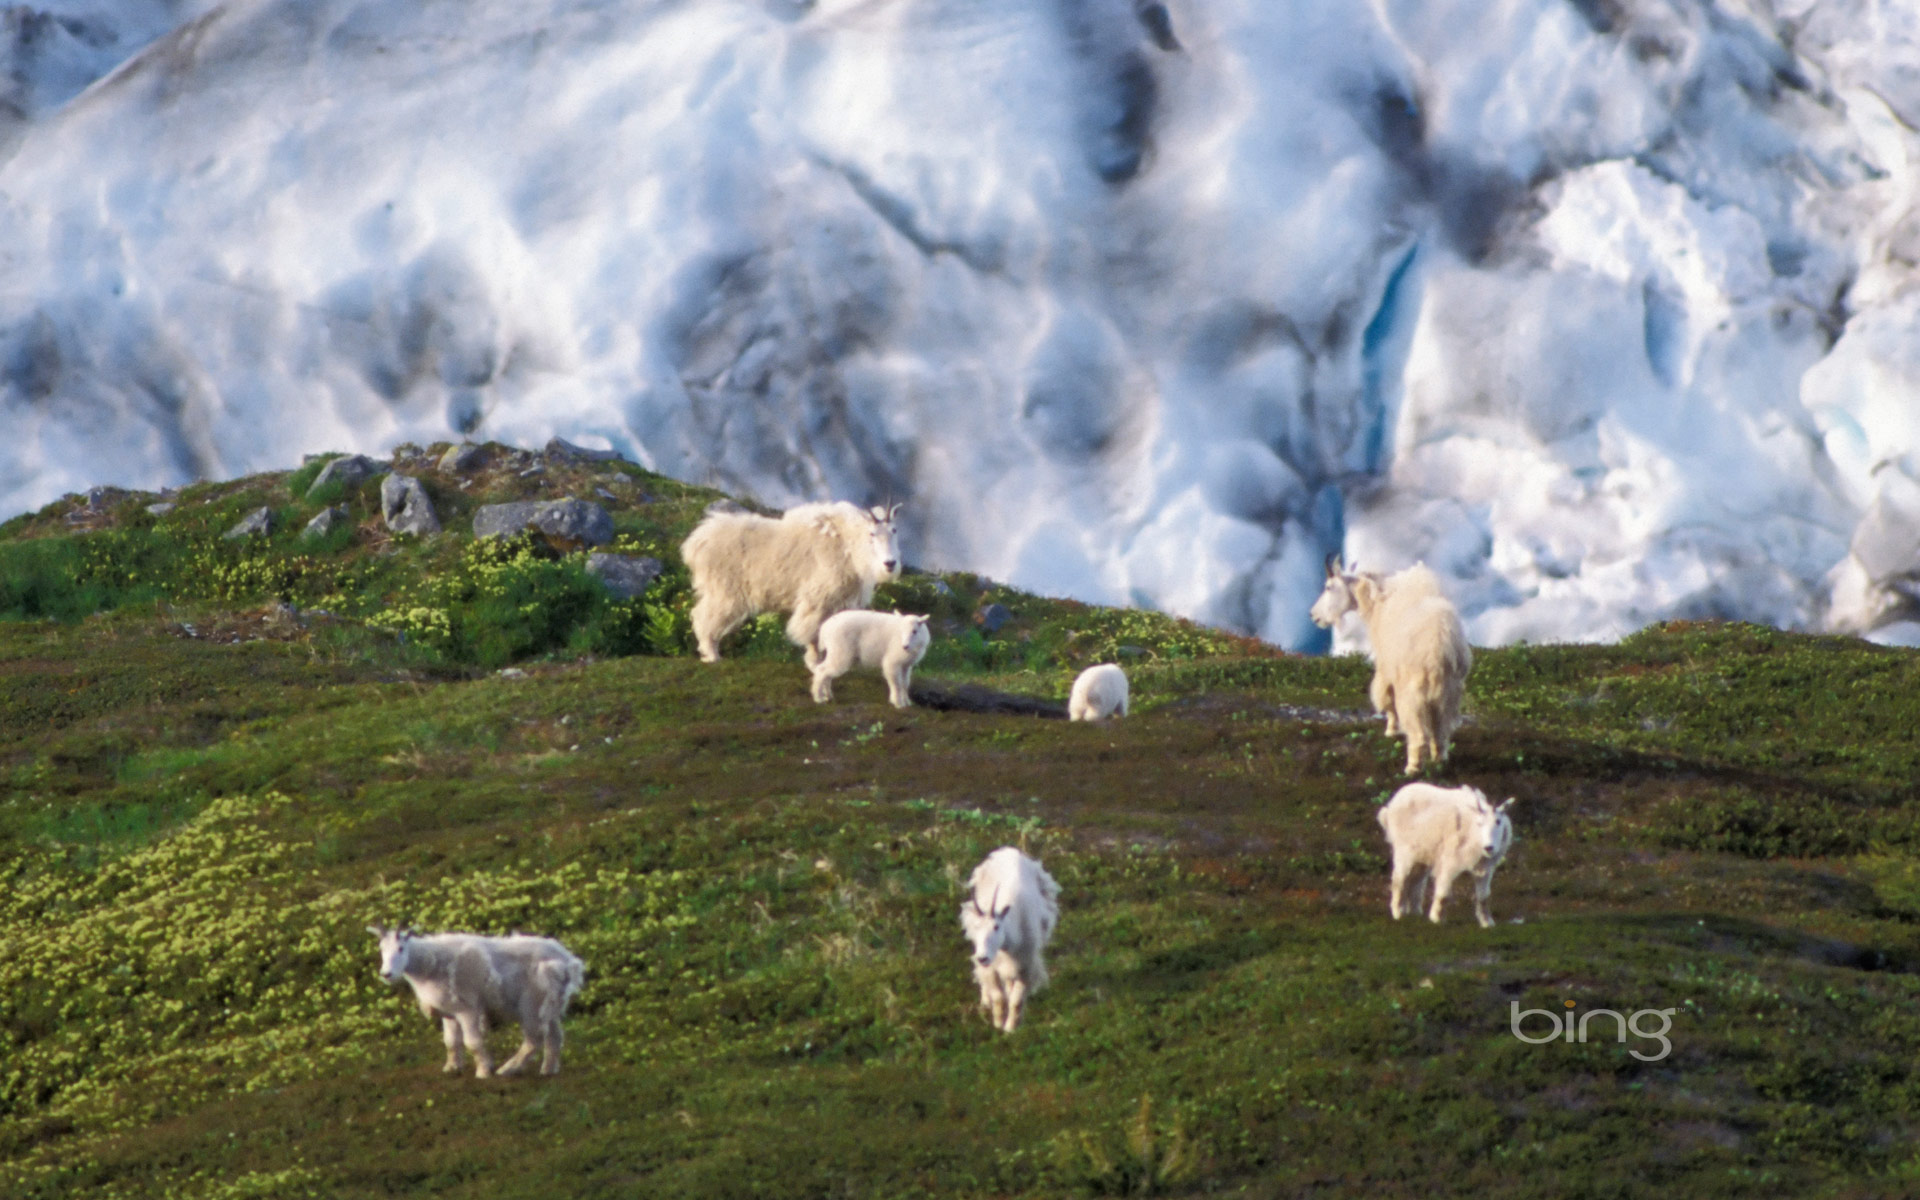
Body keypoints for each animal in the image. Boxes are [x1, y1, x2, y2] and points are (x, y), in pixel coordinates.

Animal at [366, 925, 583, 1075]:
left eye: (401, 948)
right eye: (381, 948)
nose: (386, 974)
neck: (430, 966)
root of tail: (568, 962)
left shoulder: (468, 1009)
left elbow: (472, 1042)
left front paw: (484, 1070)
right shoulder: (449, 1011)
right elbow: (451, 1042)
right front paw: (452, 1067)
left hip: (532, 1003)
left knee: (533, 1040)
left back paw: (507, 1069)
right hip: (550, 1002)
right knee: (554, 1036)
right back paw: (548, 1070)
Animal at [683, 499, 906, 664]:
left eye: (895, 530)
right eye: (872, 533)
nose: (890, 563)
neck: (848, 546)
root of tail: (695, 544)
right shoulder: (817, 599)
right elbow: (812, 632)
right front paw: (814, 660)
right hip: (726, 591)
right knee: (704, 616)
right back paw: (712, 655)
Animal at [960, 840, 1067, 1029]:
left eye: (996, 926)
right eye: (976, 927)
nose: (982, 958)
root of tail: (1007, 850)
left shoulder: (1025, 964)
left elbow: (1016, 1000)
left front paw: (1011, 1028)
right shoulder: (993, 966)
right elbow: (998, 996)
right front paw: (997, 1024)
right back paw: (985, 1001)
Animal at [1305, 556, 1466, 771]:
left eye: (1329, 587)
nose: (1314, 615)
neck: (1375, 601)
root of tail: (1440, 650)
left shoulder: (1386, 666)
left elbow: (1385, 697)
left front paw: (1390, 730)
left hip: (1413, 691)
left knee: (1418, 732)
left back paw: (1412, 767)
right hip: (1449, 692)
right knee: (1440, 730)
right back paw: (1439, 760)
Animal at [1382, 787, 1512, 925]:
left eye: (1498, 821)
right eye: (1479, 823)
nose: (1488, 847)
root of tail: (1391, 805)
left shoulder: (1485, 867)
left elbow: (1484, 896)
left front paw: (1487, 922)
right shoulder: (1449, 861)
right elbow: (1443, 893)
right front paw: (1436, 919)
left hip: (1421, 855)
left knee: (1416, 880)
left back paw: (1415, 913)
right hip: (1403, 851)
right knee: (1399, 879)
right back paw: (1398, 912)